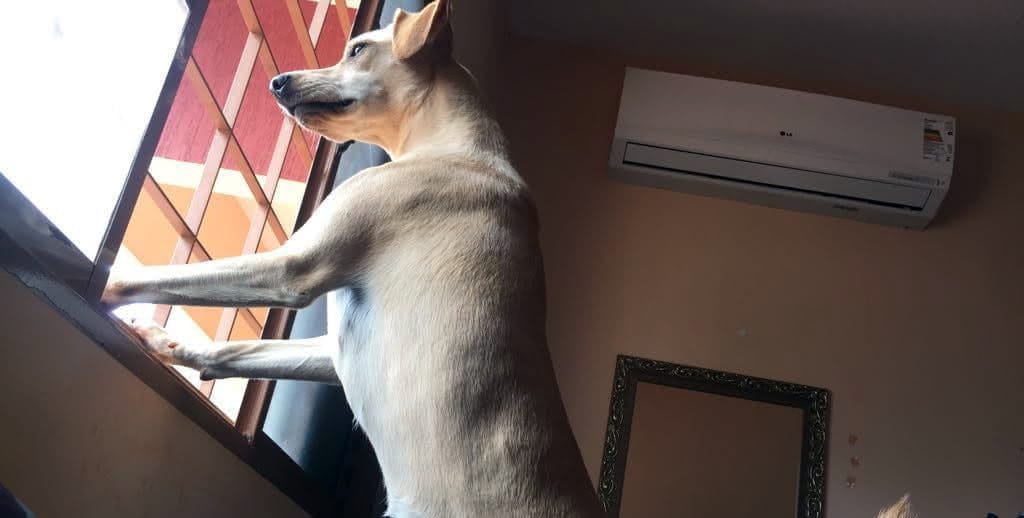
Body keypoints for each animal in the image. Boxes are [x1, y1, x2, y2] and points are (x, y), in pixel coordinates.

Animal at [102, 1, 604, 516]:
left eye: (358, 50)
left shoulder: (293, 267)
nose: (276, 82)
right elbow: (236, 351)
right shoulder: (332, 351)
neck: (454, 147)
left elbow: (156, 278)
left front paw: (104, 284)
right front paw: (165, 342)